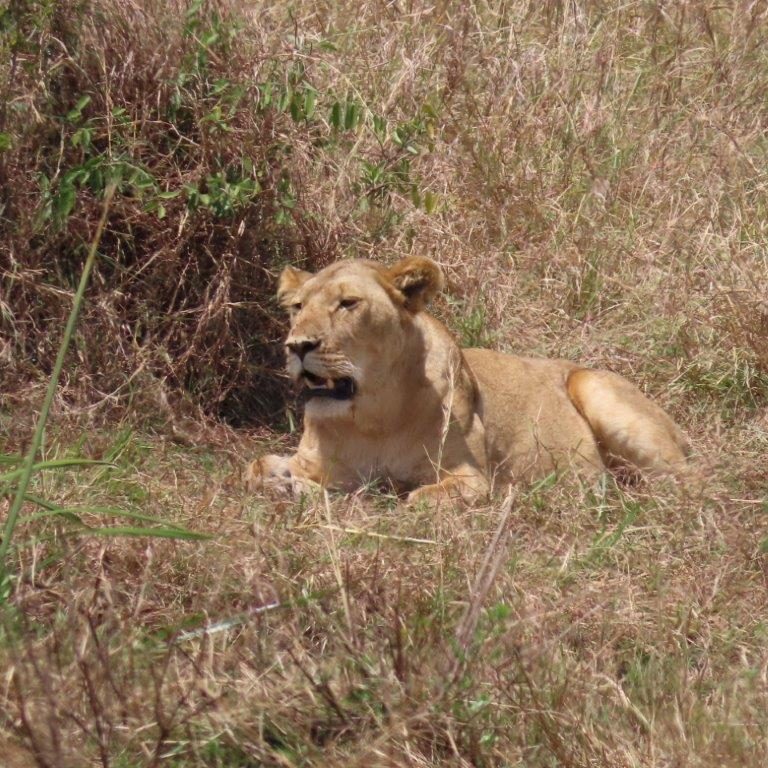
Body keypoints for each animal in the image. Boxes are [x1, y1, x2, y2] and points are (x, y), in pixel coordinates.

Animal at [245, 256, 690, 504]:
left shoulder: (474, 479)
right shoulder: (318, 464)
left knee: (688, 481)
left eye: (348, 304)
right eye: (297, 307)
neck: (372, 418)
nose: (297, 346)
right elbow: (255, 466)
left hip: (597, 390)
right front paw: (284, 484)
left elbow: (418, 500)